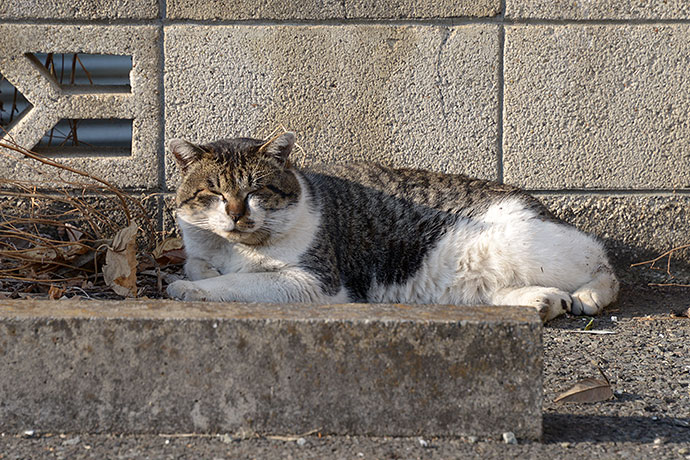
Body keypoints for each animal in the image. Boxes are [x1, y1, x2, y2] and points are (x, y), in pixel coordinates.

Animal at [167, 131, 620, 322]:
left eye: (257, 190)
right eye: (214, 191)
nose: (236, 213)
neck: (233, 246)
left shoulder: (315, 283)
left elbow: (237, 283)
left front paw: (188, 290)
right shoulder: (199, 249)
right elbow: (198, 265)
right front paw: (199, 275)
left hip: (523, 245)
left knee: (603, 263)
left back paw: (587, 295)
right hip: (472, 283)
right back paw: (542, 302)